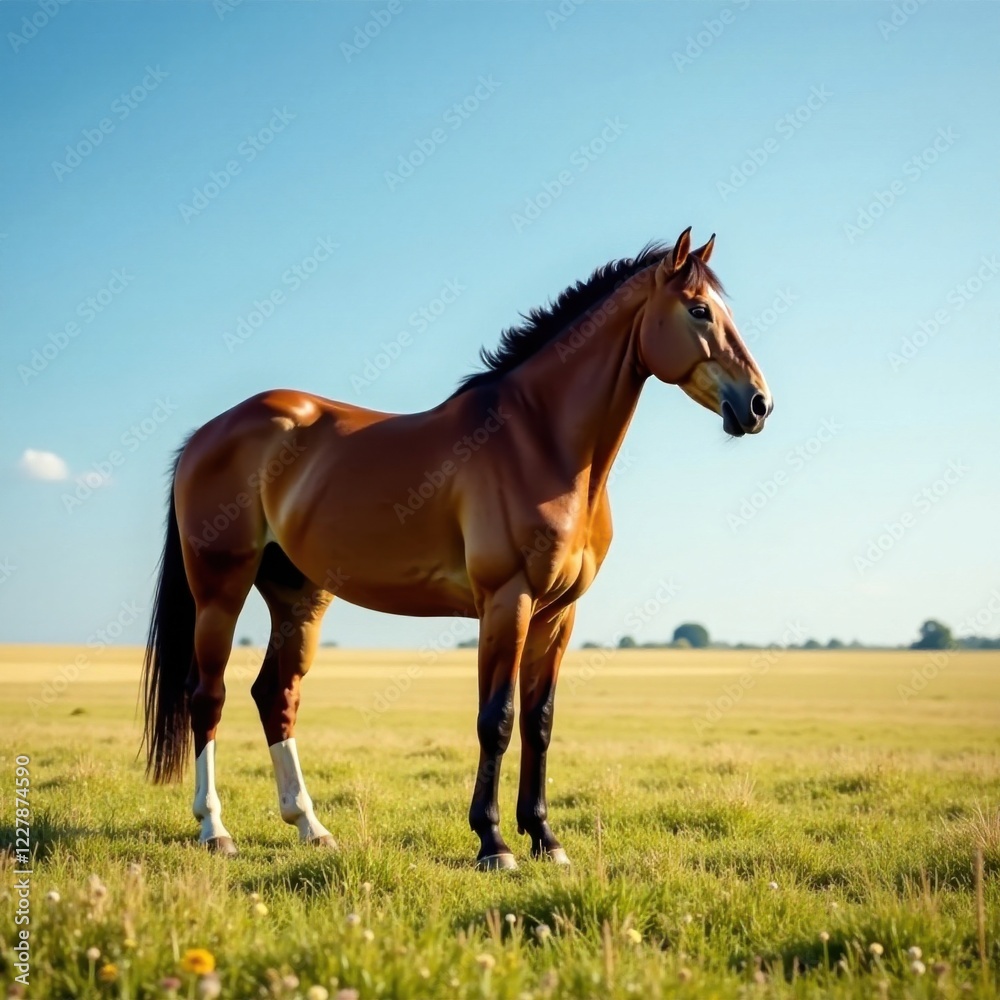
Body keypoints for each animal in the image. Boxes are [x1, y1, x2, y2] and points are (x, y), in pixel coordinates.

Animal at [141, 228, 772, 868]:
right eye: (699, 310)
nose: (757, 405)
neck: (540, 444)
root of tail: (208, 433)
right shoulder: (506, 601)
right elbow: (497, 720)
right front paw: (493, 843)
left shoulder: (558, 615)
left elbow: (539, 722)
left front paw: (544, 838)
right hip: (220, 588)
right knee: (207, 696)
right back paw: (215, 829)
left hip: (298, 596)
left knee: (276, 694)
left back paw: (310, 826)